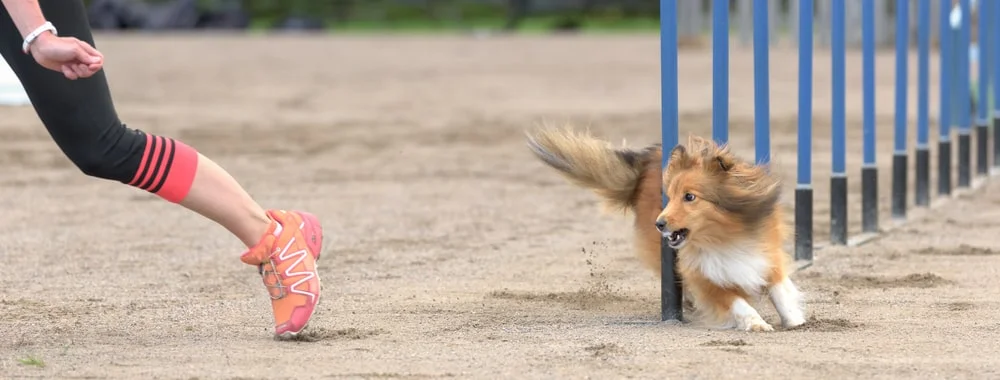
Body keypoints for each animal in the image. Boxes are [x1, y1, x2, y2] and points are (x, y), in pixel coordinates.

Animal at [528, 126, 808, 332]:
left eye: (689, 197)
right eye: (670, 197)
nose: (659, 224)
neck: (724, 236)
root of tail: (644, 162)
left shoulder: (765, 253)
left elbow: (780, 289)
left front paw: (796, 320)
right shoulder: (705, 278)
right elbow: (736, 302)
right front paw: (756, 322)